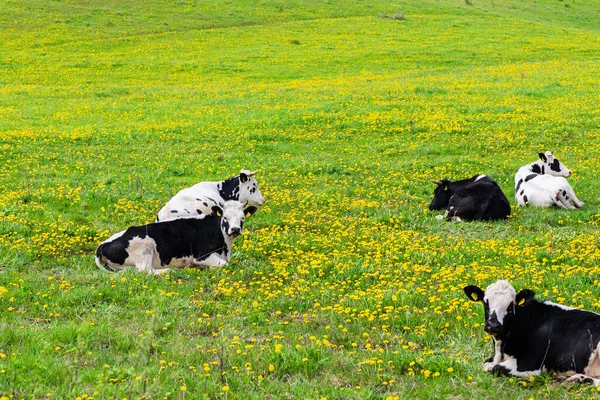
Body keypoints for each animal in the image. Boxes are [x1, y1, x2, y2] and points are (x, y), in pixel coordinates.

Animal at [96, 202, 258, 274]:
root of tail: (102, 245)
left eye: (242, 218)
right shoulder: (201, 256)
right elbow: (224, 265)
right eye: (225, 217)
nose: (235, 229)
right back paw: (169, 271)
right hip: (145, 247)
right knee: (144, 270)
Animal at [466, 278, 600, 384]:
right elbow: (486, 365)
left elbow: (496, 368)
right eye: (485, 303)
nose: (493, 325)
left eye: (510, 307)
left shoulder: (531, 365)